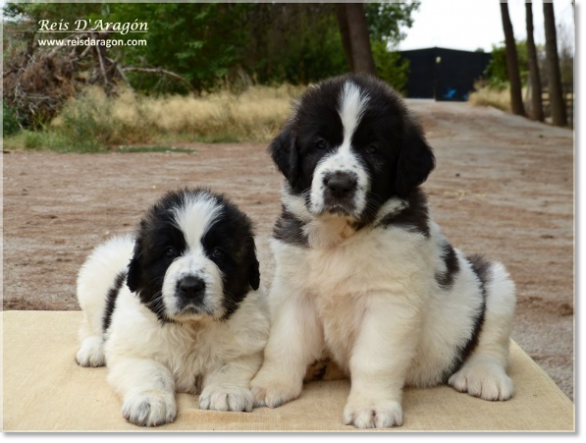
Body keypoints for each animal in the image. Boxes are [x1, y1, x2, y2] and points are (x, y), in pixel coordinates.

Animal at [74, 189, 266, 428]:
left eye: (218, 253)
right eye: (169, 251)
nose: (190, 287)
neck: (192, 327)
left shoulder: (247, 346)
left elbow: (229, 365)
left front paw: (225, 392)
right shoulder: (134, 348)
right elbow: (150, 371)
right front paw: (149, 401)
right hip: (91, 284)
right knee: (90, 325)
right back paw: (93, 349)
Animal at [249, 74, 512, 428]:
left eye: (374, 150)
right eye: (320, 144)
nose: (339, 184)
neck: (342, 236)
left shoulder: (389, 301)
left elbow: (375, 358)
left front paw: (371, 405)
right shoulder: (293, 290)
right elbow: (283, 343)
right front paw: (269, 385)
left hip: (494, 280)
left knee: (492, 338)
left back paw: (483, 375)